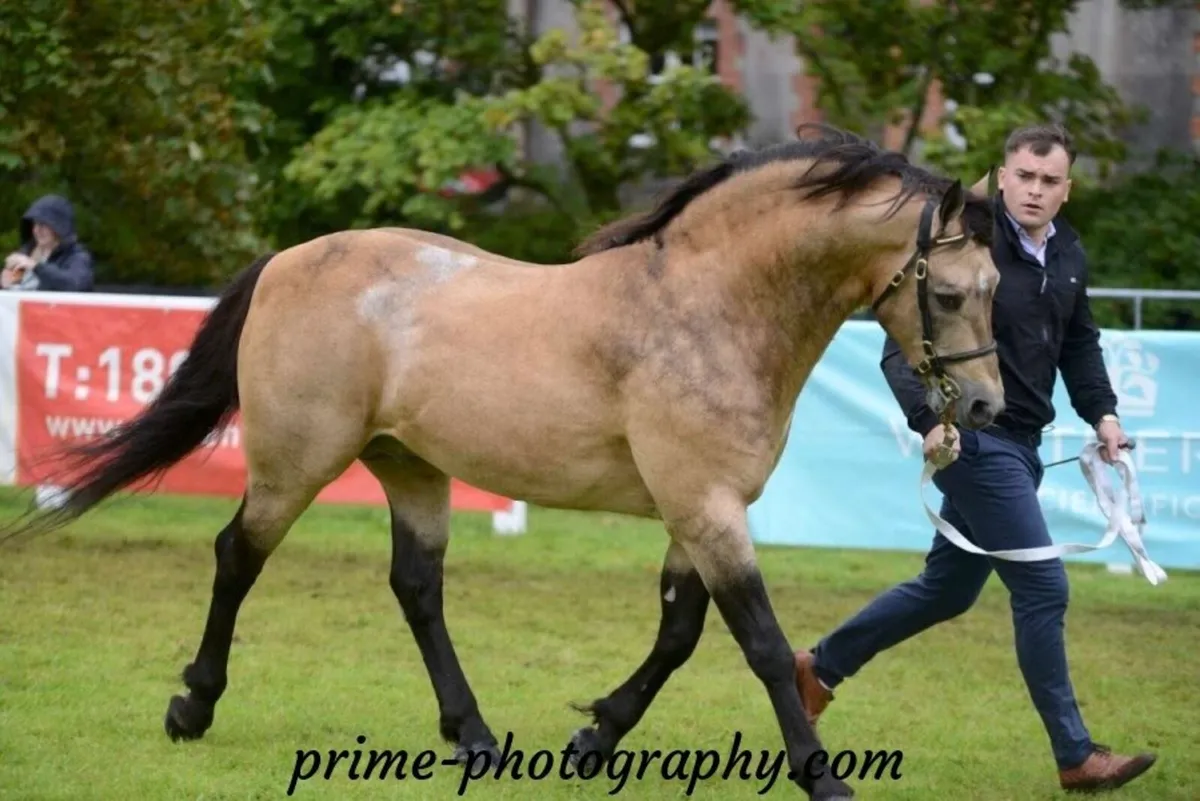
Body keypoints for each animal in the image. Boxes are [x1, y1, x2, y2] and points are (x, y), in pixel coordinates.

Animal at [1, 124, 1003, 800]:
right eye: (952, 292)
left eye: (998, 287)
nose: (988, 408)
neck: (703, 307)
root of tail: (288, 261)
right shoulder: (707, 505)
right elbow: (754, 639)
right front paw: (820, 775)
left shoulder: (696, 510)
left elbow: (679, 633)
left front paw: (595, 737)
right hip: (297, 462)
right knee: (237, 557)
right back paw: (194, 707)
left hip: (409, 466)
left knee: (416, 587)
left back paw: (474, 734)